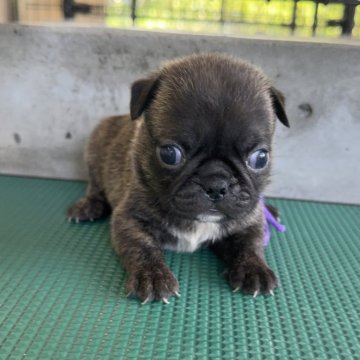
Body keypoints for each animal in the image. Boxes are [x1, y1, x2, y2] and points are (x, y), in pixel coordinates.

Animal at [67, 52, 290, 304]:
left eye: (260, 158)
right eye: (169, 154)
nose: (216, 184)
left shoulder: (248, 221)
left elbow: (250, 244)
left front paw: (255, 269)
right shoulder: (129, 219)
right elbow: (142, 247)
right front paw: (152, 275)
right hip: (95, 150)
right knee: (95, 186)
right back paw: (87, 206)